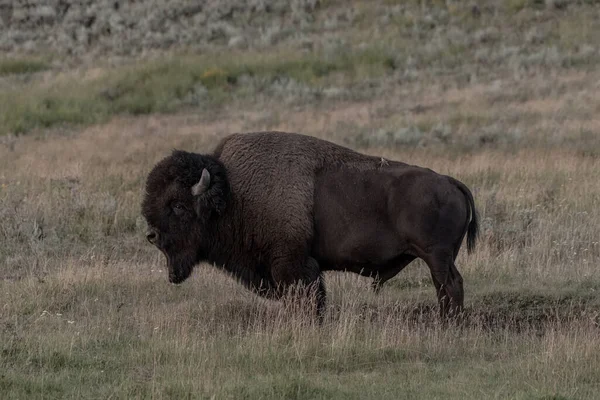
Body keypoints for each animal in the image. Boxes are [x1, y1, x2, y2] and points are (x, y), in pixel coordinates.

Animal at [141, 133, 478, 320]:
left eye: (178, 205)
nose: (151, 235)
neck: (234, 194)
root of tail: (451, 182)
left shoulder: (292, 265)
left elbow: (306, 299)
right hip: (439, 257)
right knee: (446, 287)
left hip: (436, 255)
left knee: (450, 285)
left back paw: (449, 325)